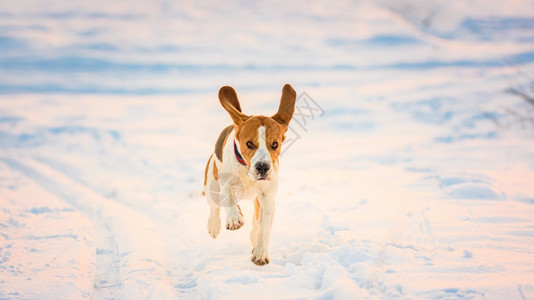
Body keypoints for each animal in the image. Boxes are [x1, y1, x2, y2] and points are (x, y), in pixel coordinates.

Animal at [204, 83, 298, 264]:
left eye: (275, 144)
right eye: (249, 144)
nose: (262, 167)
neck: (247, 171)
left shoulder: (267, 199)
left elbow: (264, 228)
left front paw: (260, 252)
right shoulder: (225, 183)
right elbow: (228, 198)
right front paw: (234, 218)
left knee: (256, 221)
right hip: (211, 184)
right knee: (214, 206)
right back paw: (214, 224)